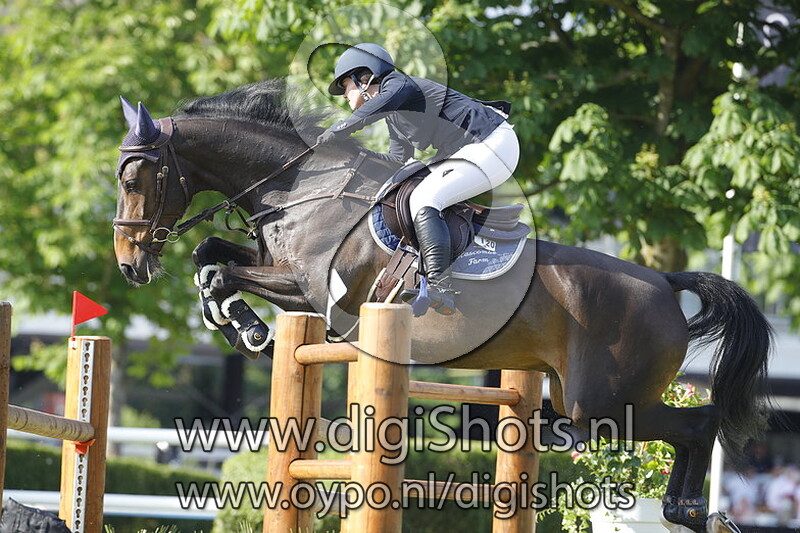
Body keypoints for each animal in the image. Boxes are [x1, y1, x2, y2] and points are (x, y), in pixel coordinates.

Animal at [113, 80, 771, 532]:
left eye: (133, 179)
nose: (129, 264)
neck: (302, 190)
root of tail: (663, 283)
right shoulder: (276, 268)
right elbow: (211, 255)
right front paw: (238, 325)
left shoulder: (317, 294)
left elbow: (220, 271)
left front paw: (244, 327)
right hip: (578, 398)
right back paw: (688, 512)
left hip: (601, 403)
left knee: (699, 422)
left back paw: (686, 509)